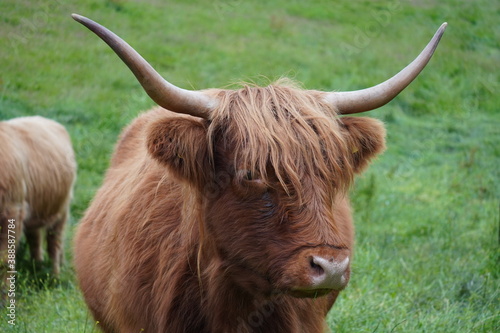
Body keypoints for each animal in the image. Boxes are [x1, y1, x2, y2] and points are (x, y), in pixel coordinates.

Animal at [0, 115, 76, 282]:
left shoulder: (12, 211)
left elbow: (4, 260)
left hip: (61, 209)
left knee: (54, 242)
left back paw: (55, 276)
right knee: (35, 239)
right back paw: (39, 266)